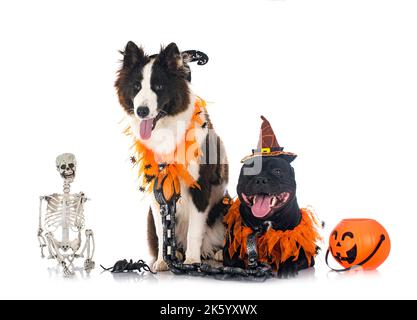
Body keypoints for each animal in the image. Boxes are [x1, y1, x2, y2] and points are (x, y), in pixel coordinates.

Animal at [114, 41, 228, 272]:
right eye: (136, 87)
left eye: (158, 87)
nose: (141, 111)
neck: (165, 131)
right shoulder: (156, 193)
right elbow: (161, 231)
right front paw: (162, 261)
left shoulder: (200, 186)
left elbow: (195, 230)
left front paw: (192, 260)